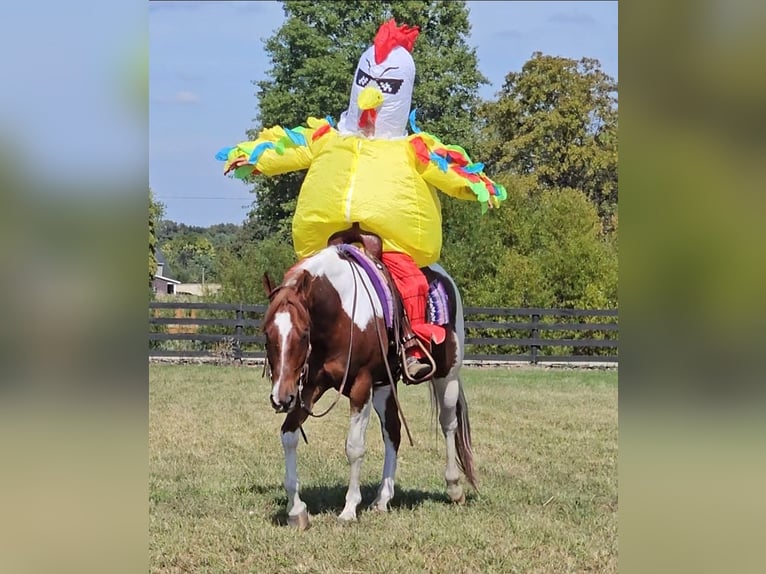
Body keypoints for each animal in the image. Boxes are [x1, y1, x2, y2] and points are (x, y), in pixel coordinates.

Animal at [261, 243, 476, 529]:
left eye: (304, 332)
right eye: (266, 333)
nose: (281, 398)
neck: (339, 314)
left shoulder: (360, 385)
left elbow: (354, 447)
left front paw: (349, 508)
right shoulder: (310, 387)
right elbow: (288, 435)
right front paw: (296, 510)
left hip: (447, 375)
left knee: (448, 424)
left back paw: (454, 488)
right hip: (384, 384)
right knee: (393, 431)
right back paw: (383, 499)